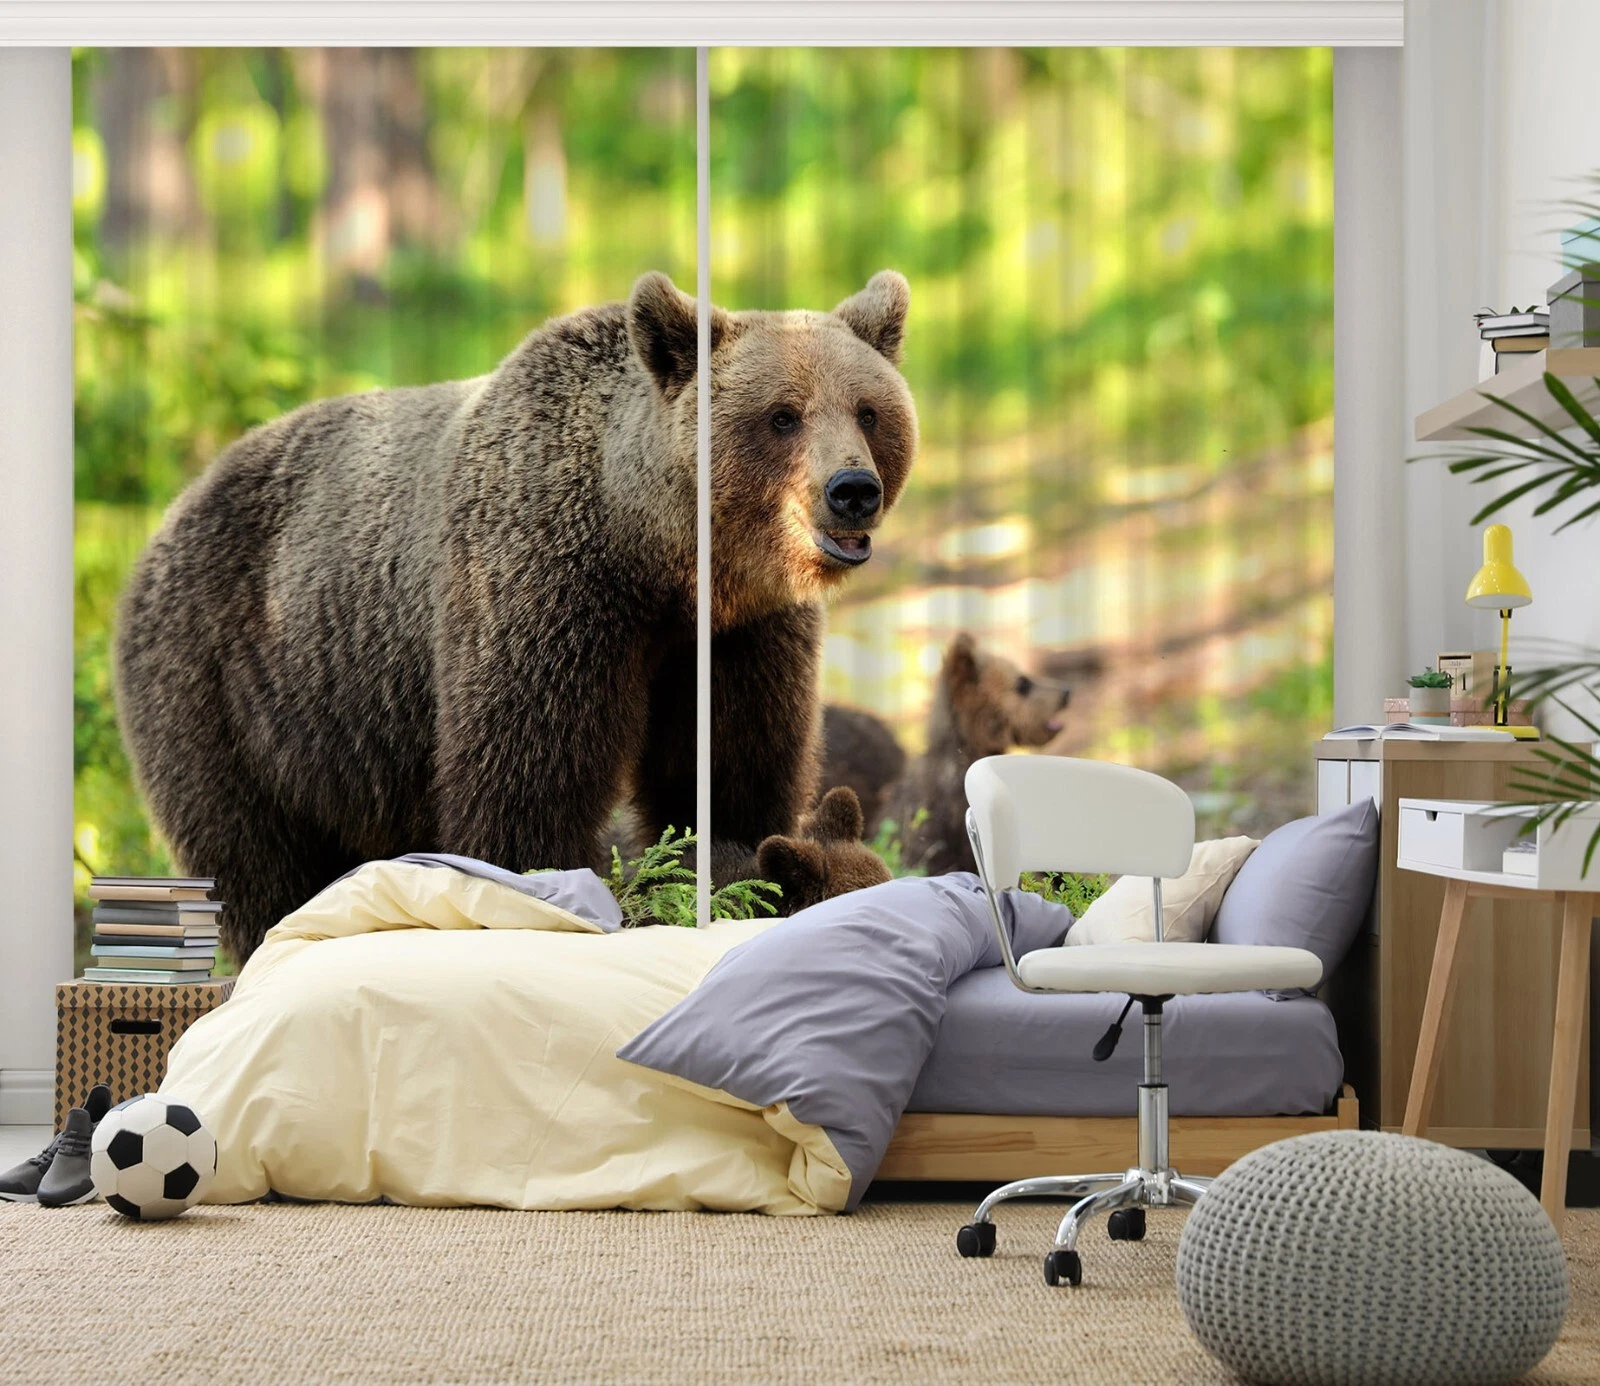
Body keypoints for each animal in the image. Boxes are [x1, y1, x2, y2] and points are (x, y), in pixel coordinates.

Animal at [114, 270, 917, 963]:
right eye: (783, 415)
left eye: (869, 411)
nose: (852, 489)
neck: (654, 558)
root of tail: (171, 512)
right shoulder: (541, 588)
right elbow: (527, 782)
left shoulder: (738, 637)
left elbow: (734, 768)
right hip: (231, 685)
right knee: (259, 862)